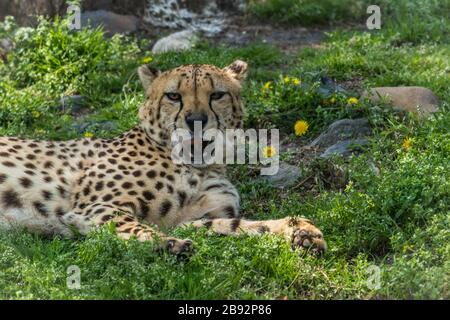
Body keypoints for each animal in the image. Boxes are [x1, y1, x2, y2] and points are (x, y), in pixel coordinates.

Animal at [0, 60, 326, 255]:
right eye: (173, 96)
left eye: (217, 95)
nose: (196, 120)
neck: (199, 165)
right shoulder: (96, 208)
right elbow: (132, 226)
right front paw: (167, 244)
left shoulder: (191, 219)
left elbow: (237, 225)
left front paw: (300, 231)